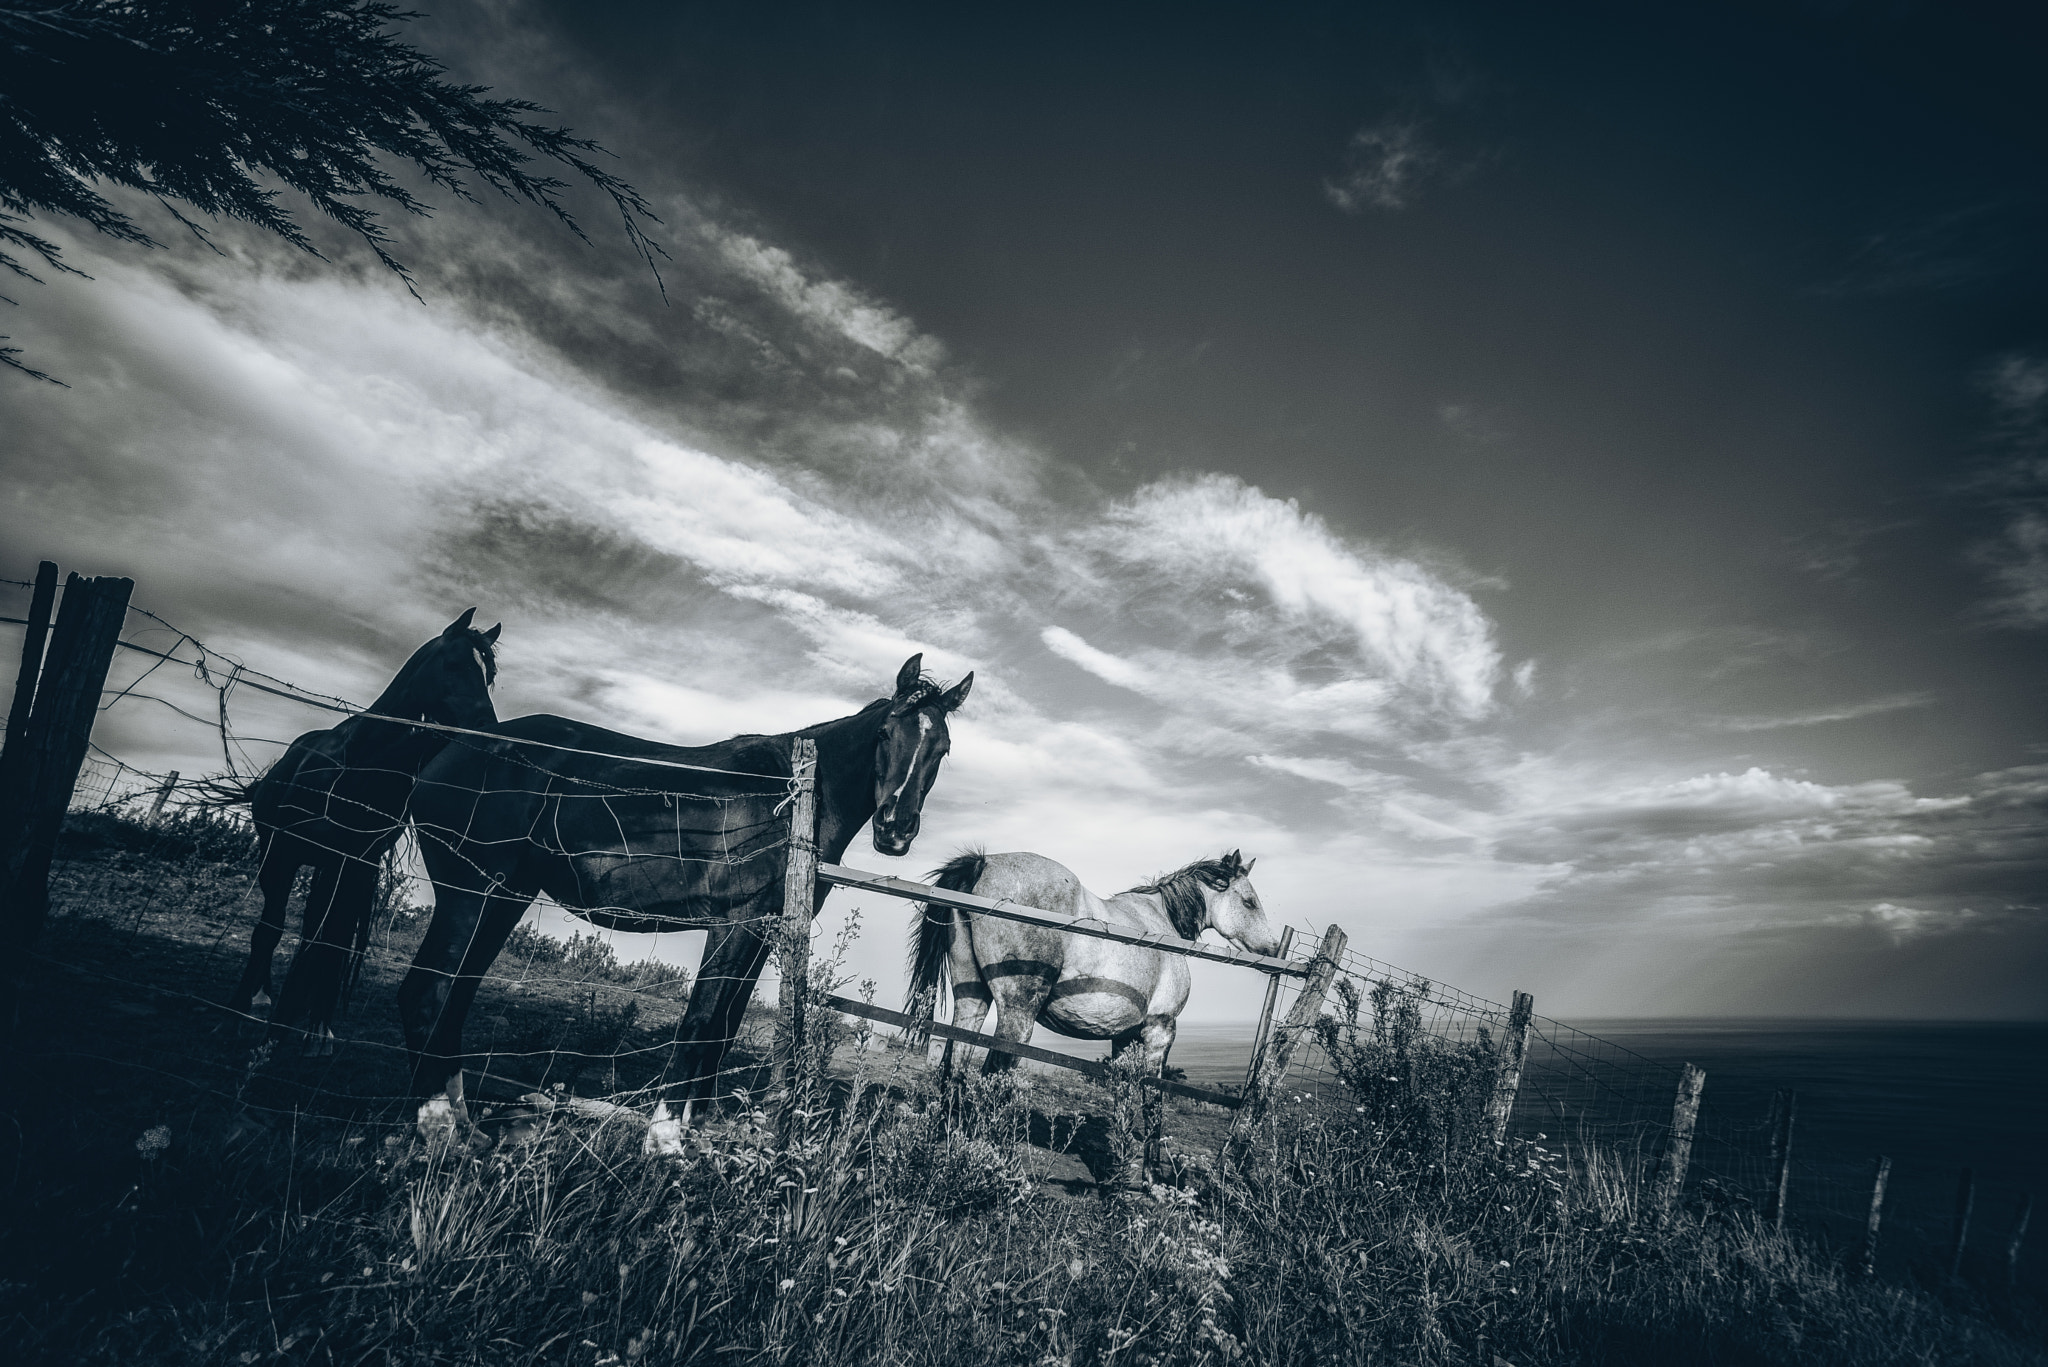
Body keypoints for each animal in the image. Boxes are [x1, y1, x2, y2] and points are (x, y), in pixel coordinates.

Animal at [230, 614, 501, 1057]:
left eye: (489, 676)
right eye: (455, 664)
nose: (488, 732)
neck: (360, 761)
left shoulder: (354, 863)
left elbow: (332, 940)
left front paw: (307, 1030)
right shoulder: (283, 853)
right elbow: (271, 928)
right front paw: (249, 1010)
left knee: (316, 932)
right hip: (284, 856)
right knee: (275, 925)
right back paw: (259, 996)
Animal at [403, 651, 970, 1131]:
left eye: (941, 749)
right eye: (884, 734)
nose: (894, 829)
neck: (790, 795)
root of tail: (456, 748)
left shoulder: (762, 930)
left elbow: (725, 1023)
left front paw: (698, 1125)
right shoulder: (734, 923)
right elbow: (701, 1019)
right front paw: (666, 1134)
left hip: (505, 897)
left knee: (457, 991)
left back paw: (463, 1123)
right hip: (471, 892)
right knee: (429, 988)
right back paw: (441, 1129)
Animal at [909, 844, 1277, 1082]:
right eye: (1249, 901)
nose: (1273, 948)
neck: (1161, 924)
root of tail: (984, 863)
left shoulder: (1125, 1037)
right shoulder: (1160, 1029)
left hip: (971, 997)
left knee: (954, 1067)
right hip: (1018, 1011)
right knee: (994, 1072)